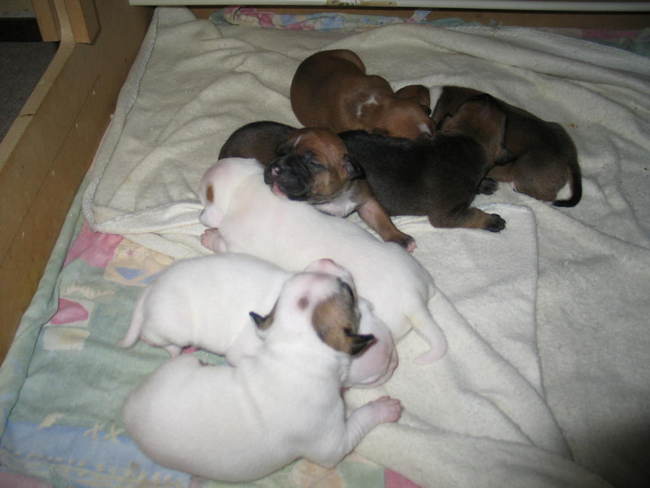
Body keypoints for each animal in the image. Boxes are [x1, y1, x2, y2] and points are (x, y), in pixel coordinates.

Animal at [118, 253, 397, 387]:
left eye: (366, 305)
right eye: (373, 378)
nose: (395, 363)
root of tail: (149, 290)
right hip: (169, 328)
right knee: (153, 338)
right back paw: (177, 350)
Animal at [122, 271, 402, 482]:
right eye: (349, 294)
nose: (337, 275)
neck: (296, 356)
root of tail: (129, 406)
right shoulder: (333, 444)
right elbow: (360, 420)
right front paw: (384, 408)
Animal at [198, 157, 448, 363]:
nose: (201, 215)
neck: (246, 188)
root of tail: (413, 301)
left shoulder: (236, 245)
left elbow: (221, 242)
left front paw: (209, 235)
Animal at [219, 121, 415, 251]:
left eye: (312, 163)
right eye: (280, 152)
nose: (275, 168)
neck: (335, 197)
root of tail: (226, 144)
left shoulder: (366, 201)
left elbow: (381, 219)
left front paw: (399, 237)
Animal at [339, 94, 508, 232]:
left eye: (471, 100)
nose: (487, 96)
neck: (467, 141)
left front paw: (485, 183)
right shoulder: (446, 216)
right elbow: (473, 215)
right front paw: (492, 220)